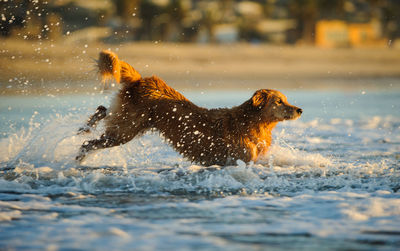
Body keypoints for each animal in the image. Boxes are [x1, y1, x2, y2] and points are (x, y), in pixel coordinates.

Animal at [76, 50, 304, 166]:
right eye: (279, 101)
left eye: (286, 99)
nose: (300, 110)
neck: (253, 123)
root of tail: (142, 79)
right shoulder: (241, 159)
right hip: (126, 129)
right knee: (90, 142)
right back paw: (78, 156)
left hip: (127, 121)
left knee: (102, 110)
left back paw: (84, 128)